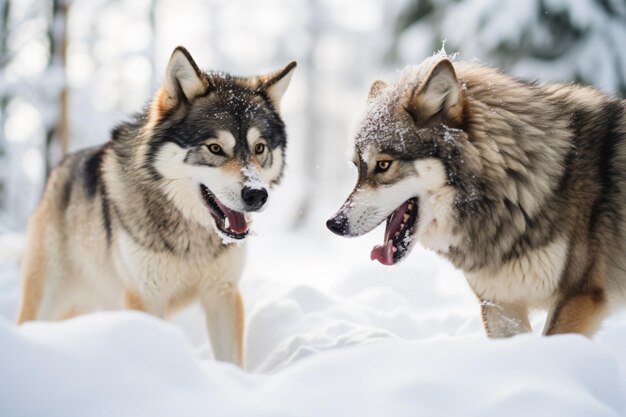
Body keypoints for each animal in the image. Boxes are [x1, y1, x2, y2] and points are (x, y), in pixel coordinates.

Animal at [17, 44, 294, 364]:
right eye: (215, 148)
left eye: (259, 148)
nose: (256, 195)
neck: (192, 238)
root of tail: (59, 167)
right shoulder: (145, 299)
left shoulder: (223, 294)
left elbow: (231, 360)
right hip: (48, 299)